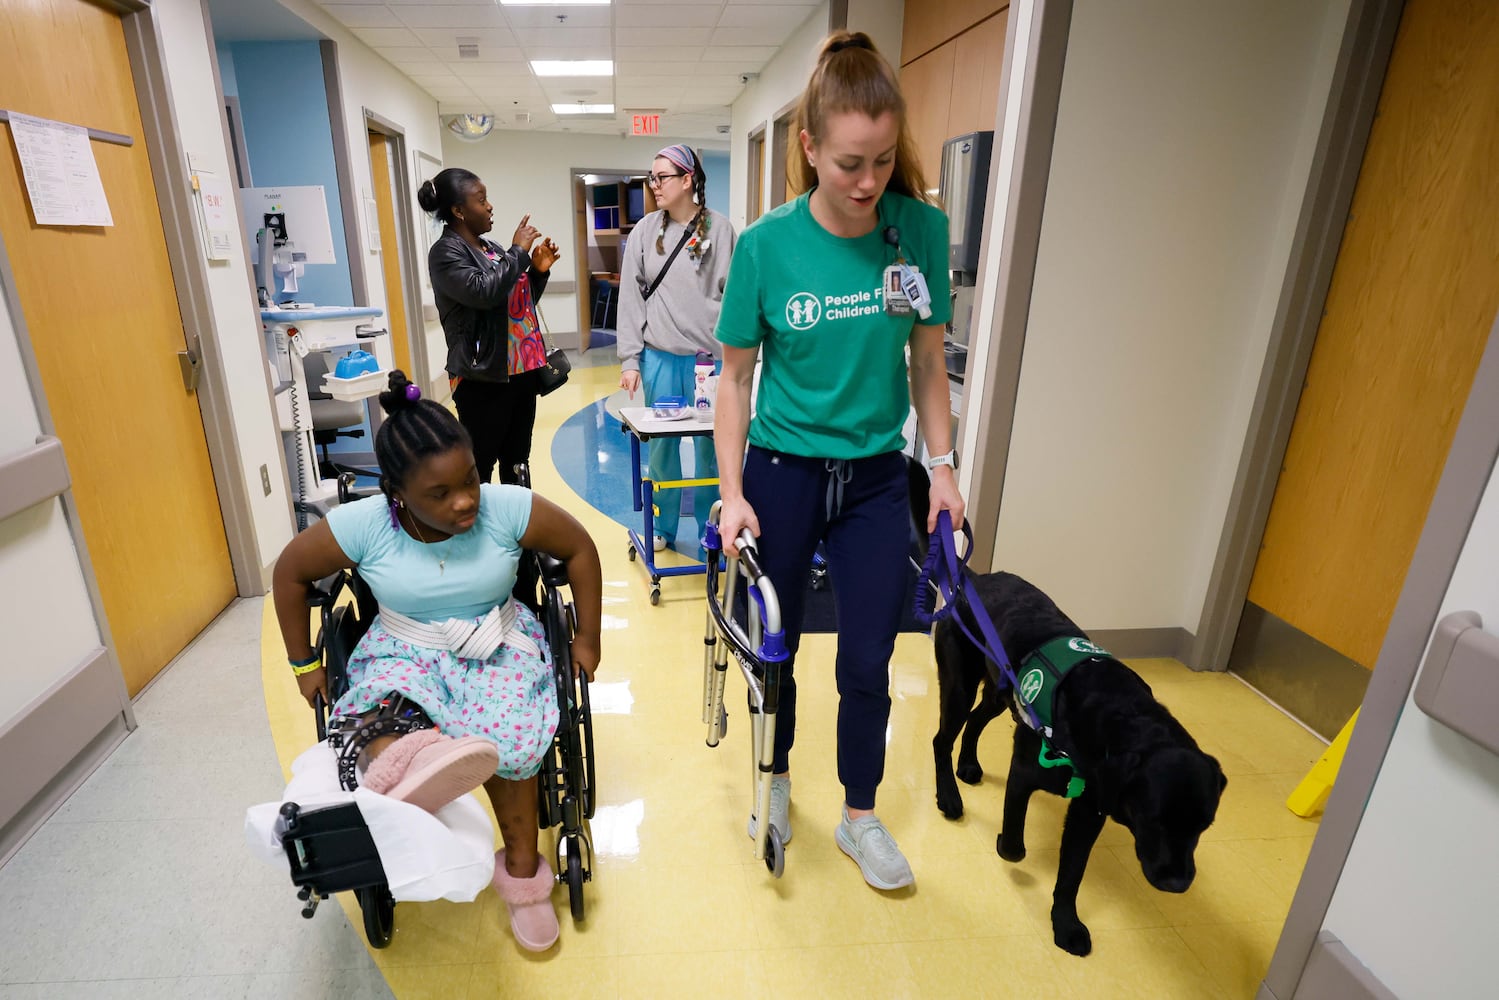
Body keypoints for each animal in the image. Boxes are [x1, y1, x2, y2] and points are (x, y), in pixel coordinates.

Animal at [905, 461, 1223, 953]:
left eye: (1203, 826)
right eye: (1155, 819)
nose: (1177, 884)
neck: (1117, 721)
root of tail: (974, 579)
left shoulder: (1090, 809)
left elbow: (1072, 874)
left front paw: (1066, 923)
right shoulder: (1025, 772)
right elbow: (1014, 840)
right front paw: (1009, 847)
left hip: (1000, 693)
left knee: (976, 722)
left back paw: (970, 766)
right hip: (959, 686)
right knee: (943, 737)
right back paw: (949, 794)